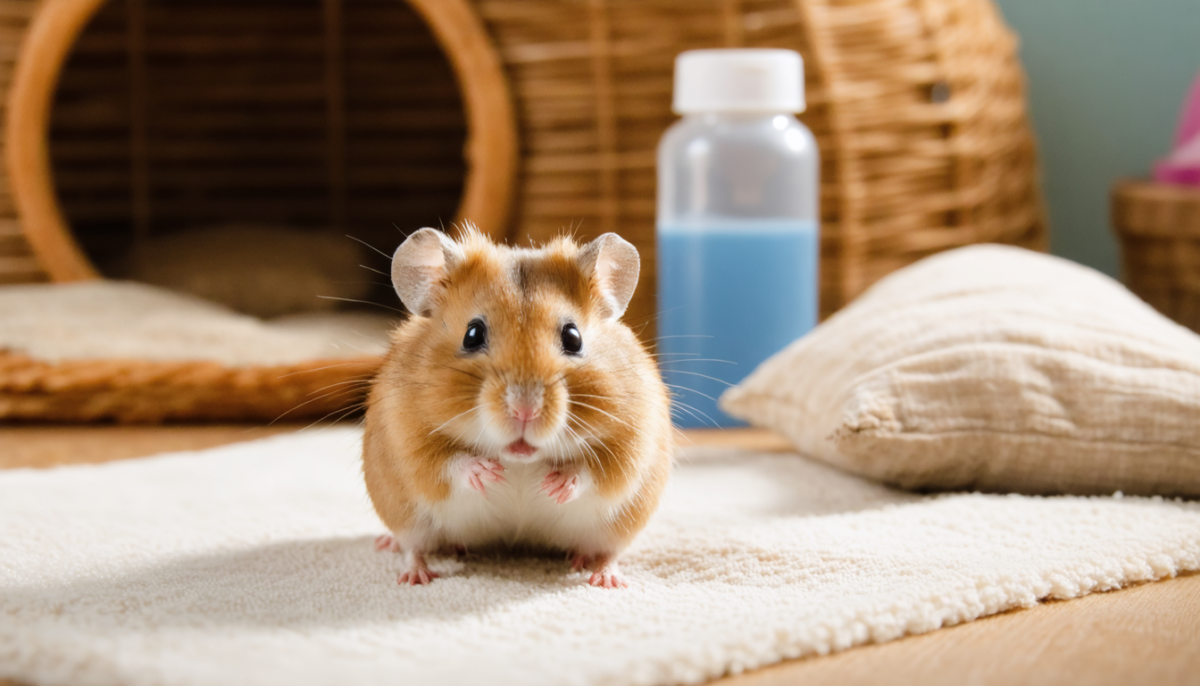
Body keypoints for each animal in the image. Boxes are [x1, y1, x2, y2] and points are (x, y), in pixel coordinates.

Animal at [362, 226, 673, 588]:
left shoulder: (632, 439)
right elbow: (446, 462)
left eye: (573, 338)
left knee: (609, 552)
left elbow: (594, 470)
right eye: (472, 334)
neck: (522, 459)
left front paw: (553, 484)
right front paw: (490, 473)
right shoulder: (406, 437)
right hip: (406, 516)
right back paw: (412, 572)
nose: (525, 411)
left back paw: (603, 577)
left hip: (621, 526)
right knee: (414, 547)